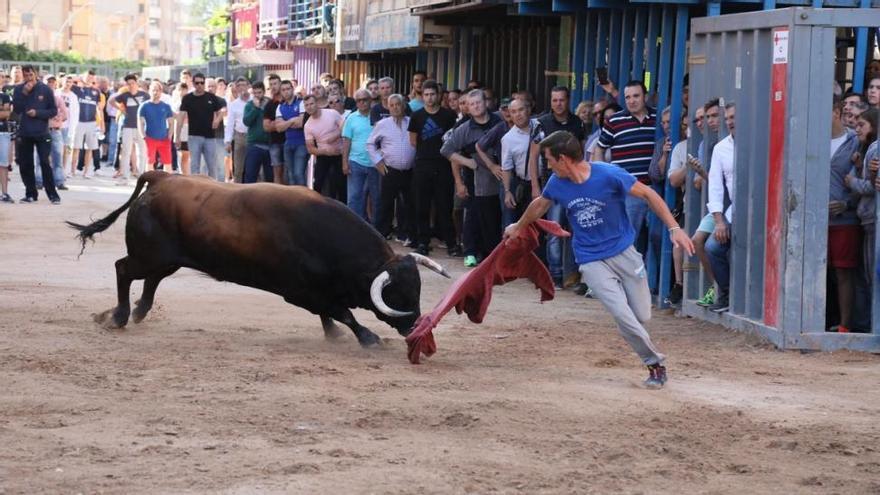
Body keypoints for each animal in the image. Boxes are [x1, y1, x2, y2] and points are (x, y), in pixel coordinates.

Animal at [68, 172, 450, 346]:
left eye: (417, 290)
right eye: (397, 294)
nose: (415, 327)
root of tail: (161, 177)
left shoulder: (317, 292)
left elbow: (331, 312)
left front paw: (335, 335)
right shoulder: (299, 292)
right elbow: (341, 312)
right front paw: (367, 338)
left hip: (165, 258)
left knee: (150, 280)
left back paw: (137, 312)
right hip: (149, 255)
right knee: (123, 270)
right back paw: (118, 317)